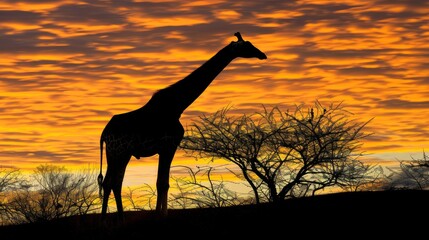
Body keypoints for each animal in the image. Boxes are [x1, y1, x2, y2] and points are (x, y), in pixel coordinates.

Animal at [98, 31, 264, 221]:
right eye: (247, 45)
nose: (263, 54)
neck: (178, 105)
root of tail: (104, 133)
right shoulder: (169, 145)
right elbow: (162, 183)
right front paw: (160, 216)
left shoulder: (165, 147)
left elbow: (162, 182)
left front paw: (160, 214)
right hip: (119, 152)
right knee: (112, 182)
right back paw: (111, 220)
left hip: (119, 153)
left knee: (112, 182)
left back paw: (112, 220)